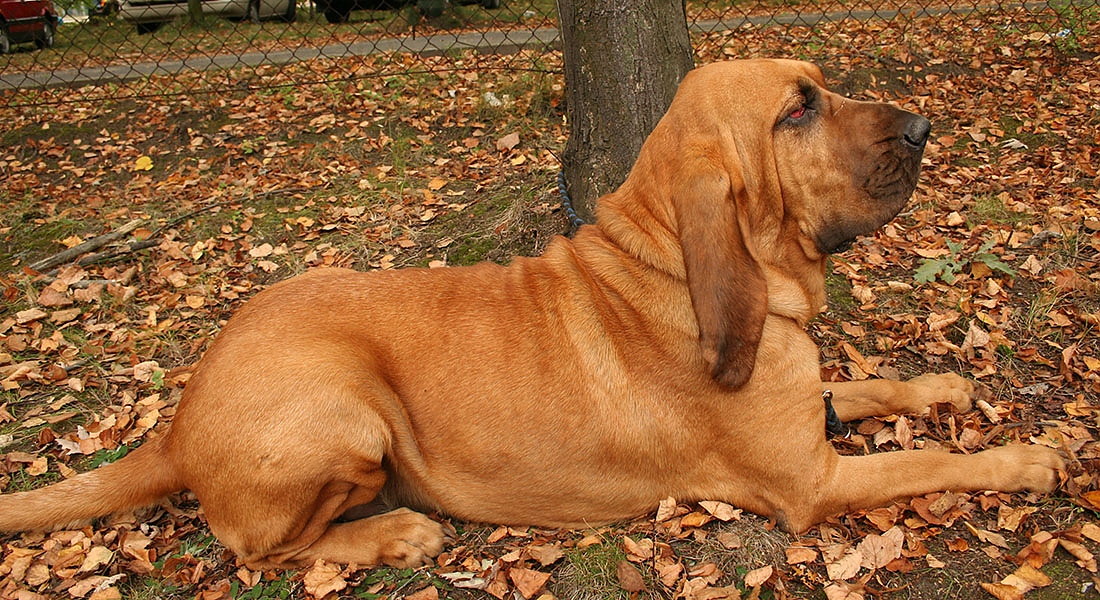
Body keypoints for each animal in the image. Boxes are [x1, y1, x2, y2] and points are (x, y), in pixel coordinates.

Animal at [0, 58, 1064, 568]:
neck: (669, 266)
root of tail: (177, 424)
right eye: (794, 112)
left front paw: (941, 383)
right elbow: (931, 464)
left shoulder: (813, 412)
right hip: (346, 413)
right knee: (261, 552)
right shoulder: (812, 482)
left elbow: (874, 385)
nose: (923, 127)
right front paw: (1025, 460)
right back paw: (392, 536)